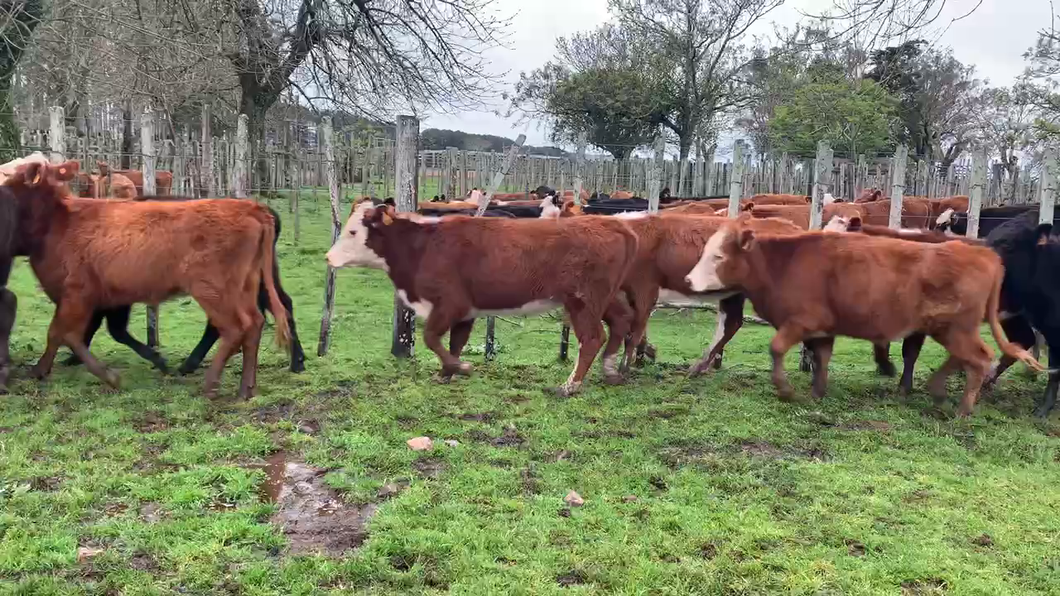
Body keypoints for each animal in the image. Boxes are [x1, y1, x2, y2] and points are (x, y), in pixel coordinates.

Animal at [7, 160, 294, 396]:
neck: (59, 224)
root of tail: (252, 207)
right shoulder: (103, 299)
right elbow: (79, 334)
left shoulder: (77, 294)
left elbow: (61, 333)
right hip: (246, 287)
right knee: (254, 323)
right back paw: (246, 388)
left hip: (213, 291)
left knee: (235, 328)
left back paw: (210, 383)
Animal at [322, 200, 635, 394]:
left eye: (353, 231)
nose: (328, 257)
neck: (422, 247)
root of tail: (614, 225)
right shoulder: (466, 312)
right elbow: (454, 343)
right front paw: (446, 373)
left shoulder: (450, 304)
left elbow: (431, 338)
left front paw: (461, 368)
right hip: (604, 299)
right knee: (622, 321)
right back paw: (610, 371)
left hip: (583, 301)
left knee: (593, 338)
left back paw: (570, 385)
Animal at [682, 215, 1038, 415]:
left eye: (718, 256)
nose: (687, 280)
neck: (784, 263)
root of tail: (983, 254)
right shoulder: (824, 328)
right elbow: (822, 358)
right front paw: (817, 391)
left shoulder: (801, 322)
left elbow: (777, 348)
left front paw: (785, 390)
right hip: (948, 329)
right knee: (967, 358)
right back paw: (937, 389)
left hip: (957, 329)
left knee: (979, 358)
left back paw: (962, 410)